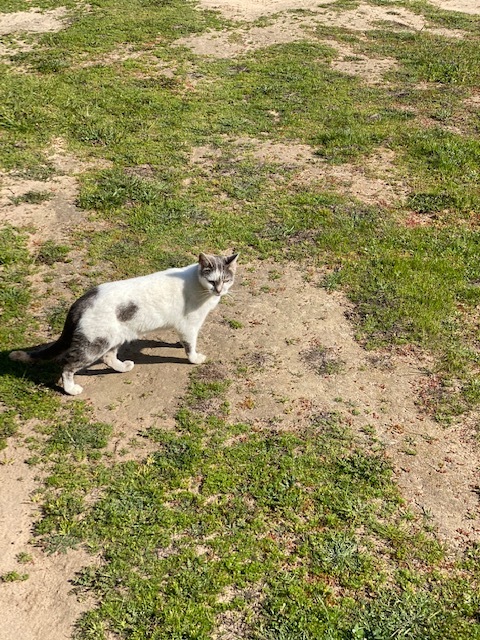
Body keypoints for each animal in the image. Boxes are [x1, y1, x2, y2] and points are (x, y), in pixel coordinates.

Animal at [9, 251, 238, 396]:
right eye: (212, 281)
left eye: (226, 280)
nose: (219, 291)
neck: (200, 287)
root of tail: (82, 300)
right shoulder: (189, 324)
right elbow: (190, 347)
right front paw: (194, 358)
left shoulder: (183, 327)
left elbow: (183, 341)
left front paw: (177, 344)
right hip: (94, 344)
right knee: (67, 365)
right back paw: (71, 389)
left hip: (115, 337)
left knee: (109, 358)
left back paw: (123, 367)